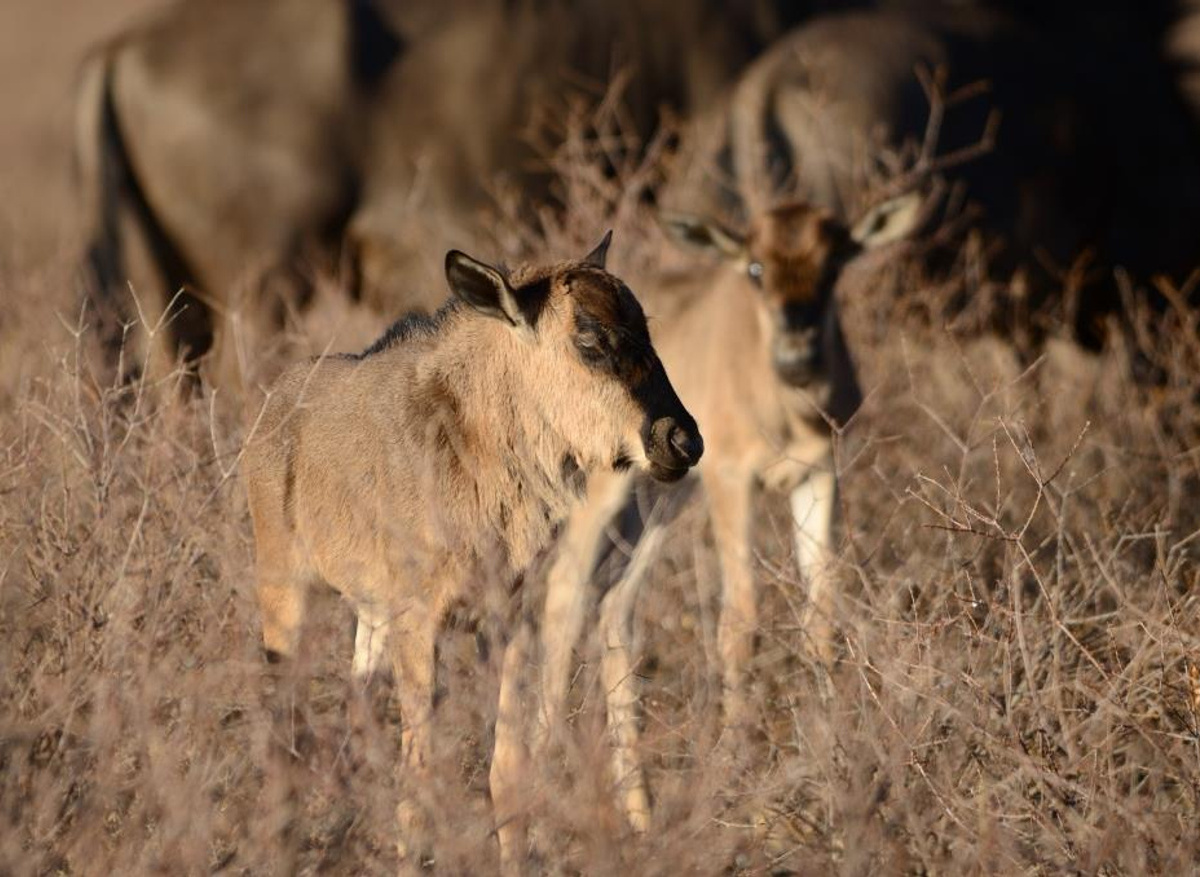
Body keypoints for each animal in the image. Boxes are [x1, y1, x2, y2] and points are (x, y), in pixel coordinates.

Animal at [241, 233, 703, 871]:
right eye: (588, 338)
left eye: (646, 329)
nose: (681, 439)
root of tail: (269, 408)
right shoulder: (419, 622)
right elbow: (420, 774)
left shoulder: (506, 622)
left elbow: (507, 767)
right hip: (286, 591)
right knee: (285, 725)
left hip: (370, 616)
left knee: (354, 711)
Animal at [539, 195, 921, 830]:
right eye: (755, 267)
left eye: (834, 264)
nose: (798, 353)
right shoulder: (730, 479)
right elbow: (740, 614)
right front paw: (745, 784)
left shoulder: (818, 475)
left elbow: (821, 608)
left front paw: (836, 769)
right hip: (609, 494)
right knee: (565, 594)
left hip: (659, 501)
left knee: (617, 604)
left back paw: (640, 814)